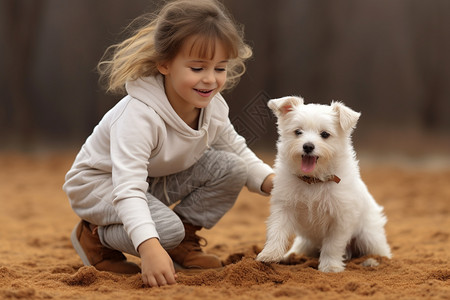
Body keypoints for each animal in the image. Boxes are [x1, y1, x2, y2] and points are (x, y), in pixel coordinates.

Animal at [256, 96, 390, 272]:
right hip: (305, 242)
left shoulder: (341, 218)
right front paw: (269, 255)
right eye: (298, 132)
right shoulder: (283, 207)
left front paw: (330, 267)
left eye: (325, 134)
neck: (313, 180)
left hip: (369, 237)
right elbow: (276, 231)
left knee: (382, 252)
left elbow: (332, 245)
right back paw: (288, 257)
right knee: (298, 249)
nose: (308, 146)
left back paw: (372, 262)